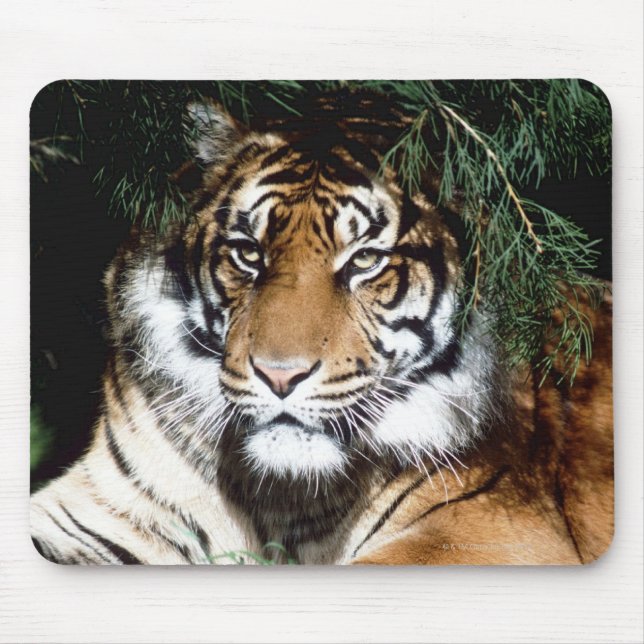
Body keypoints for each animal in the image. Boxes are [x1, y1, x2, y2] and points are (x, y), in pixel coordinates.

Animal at [30, 90, 614, 565]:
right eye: (249, 254)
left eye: (364, 261)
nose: (279, 376)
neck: (276, 497)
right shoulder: (100, 506)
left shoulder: (484, 528)